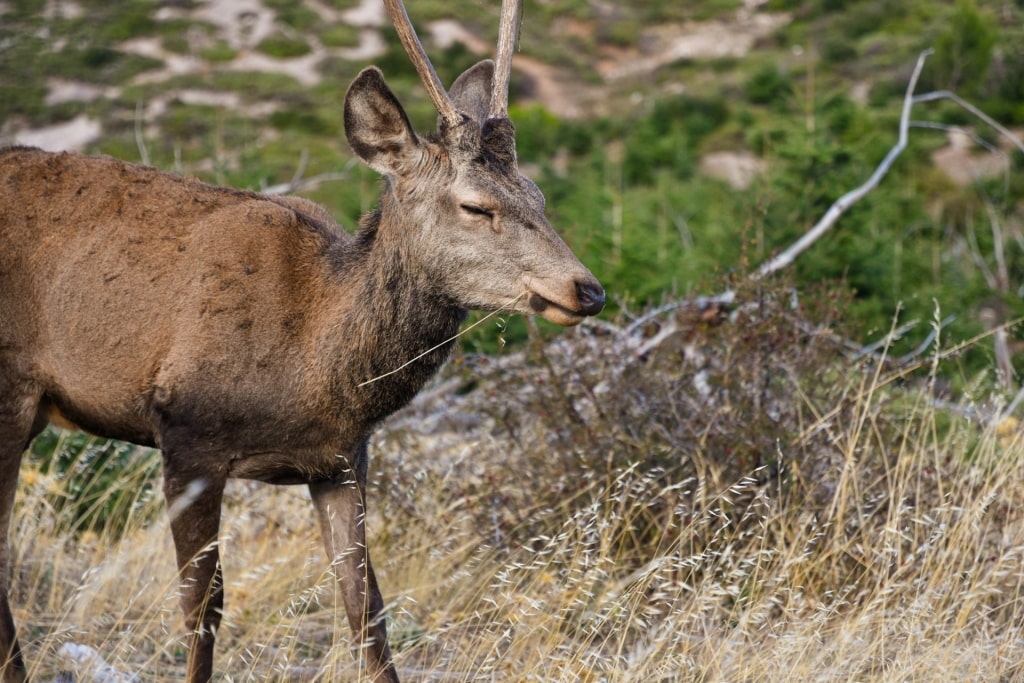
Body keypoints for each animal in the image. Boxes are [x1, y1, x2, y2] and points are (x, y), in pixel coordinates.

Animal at [0, 0, 602, 679]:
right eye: (476, 206)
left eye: (539, 195)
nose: (587, 290)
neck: (316, 367)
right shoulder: (185, 432)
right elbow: (202, 606)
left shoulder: (341, 461)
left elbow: (366, 607)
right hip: (10, 387)